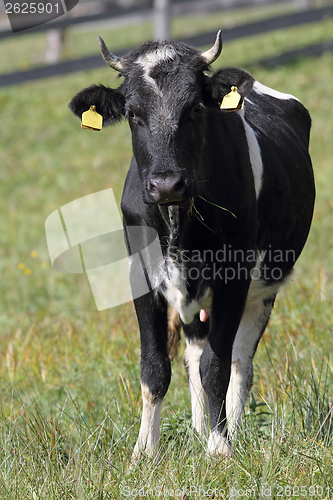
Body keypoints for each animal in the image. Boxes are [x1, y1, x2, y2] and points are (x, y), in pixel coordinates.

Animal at [69, 31, 314, 458]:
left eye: (196, 108)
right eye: (133, 114)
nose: (166, 184)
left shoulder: (235, 276)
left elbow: (216, 367)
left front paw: (219, 449)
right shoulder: (140, 275)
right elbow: (155, 368)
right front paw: (144, 453)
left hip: (263, 290)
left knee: (239, 362)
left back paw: (228, 430)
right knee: (194, 352)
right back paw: (200, 429)